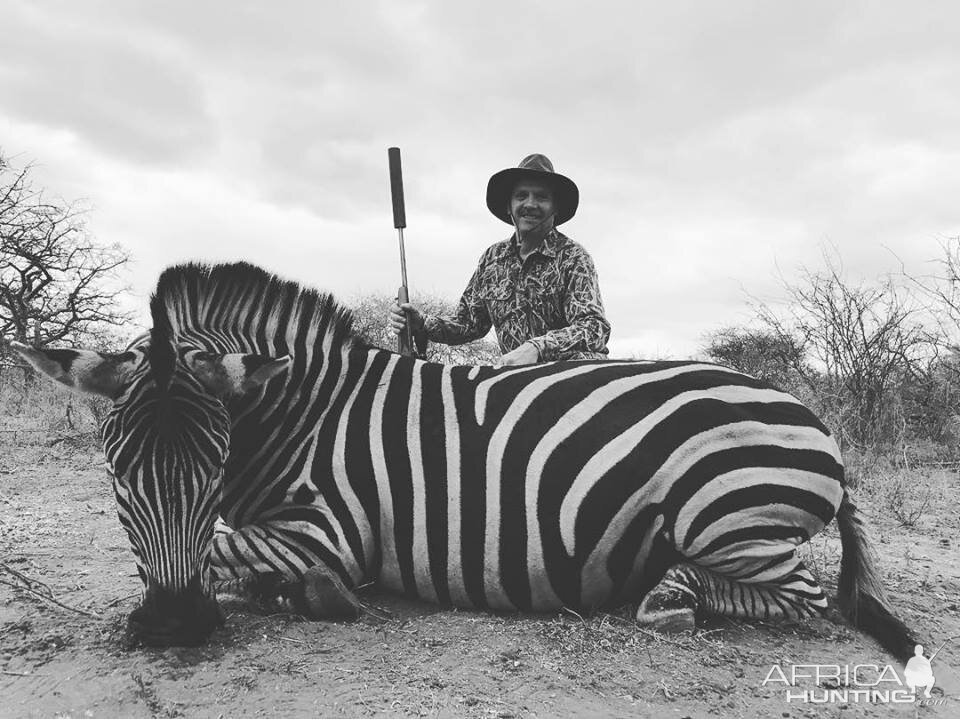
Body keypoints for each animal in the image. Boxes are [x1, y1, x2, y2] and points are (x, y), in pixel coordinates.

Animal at [13, 262, 916, 660]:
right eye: (116, 473)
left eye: (211, 467)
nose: (174, 626)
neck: (300, 413)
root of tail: (819, 424)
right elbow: (218, 558)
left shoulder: (330, 530)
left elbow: (230, 550)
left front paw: (315, 594)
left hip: (724, 515)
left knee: (803, 597)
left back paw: (669, 595)